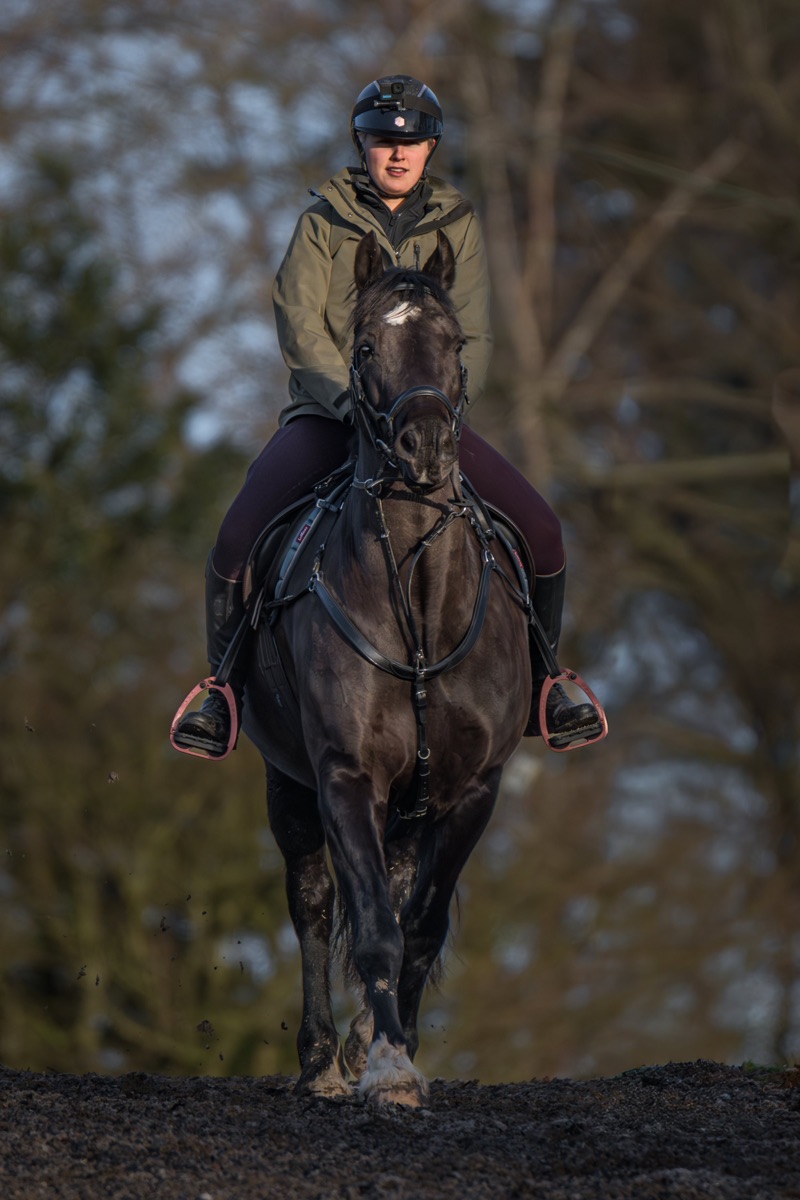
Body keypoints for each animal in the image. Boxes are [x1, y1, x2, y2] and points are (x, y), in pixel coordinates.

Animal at [241, 230, 531, 1106]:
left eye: (456, 343)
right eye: (365, 346)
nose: (427, 446)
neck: (421, 609)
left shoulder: (472, 791)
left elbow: (419, 928)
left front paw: (394, 1051)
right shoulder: (344, 774)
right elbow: (367, 924)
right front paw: (387, 1069)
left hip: (412, 805)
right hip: (289, 781)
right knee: (311, 902)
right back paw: (323, 1062)